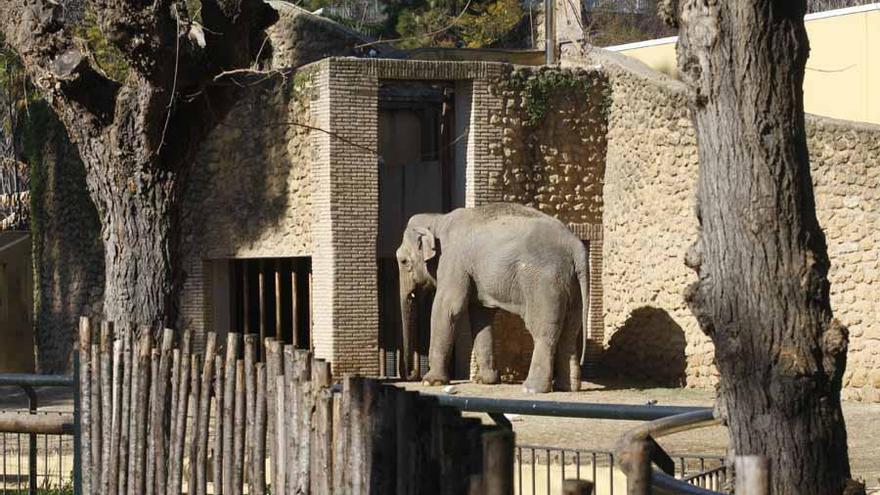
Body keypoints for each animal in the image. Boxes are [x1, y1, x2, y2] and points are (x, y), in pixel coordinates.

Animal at [398, 203, 592, 394]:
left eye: (403, 261)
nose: (411, 375)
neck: (438, 219)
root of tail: (575, 246)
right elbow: (481, 315)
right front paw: (485, 381)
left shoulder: (453, 260)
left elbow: (448, 306)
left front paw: (430, 382)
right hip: (572, 284)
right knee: (570, 331)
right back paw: (567, 387)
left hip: (544, 283)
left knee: (543, 331)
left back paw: (531, 389)